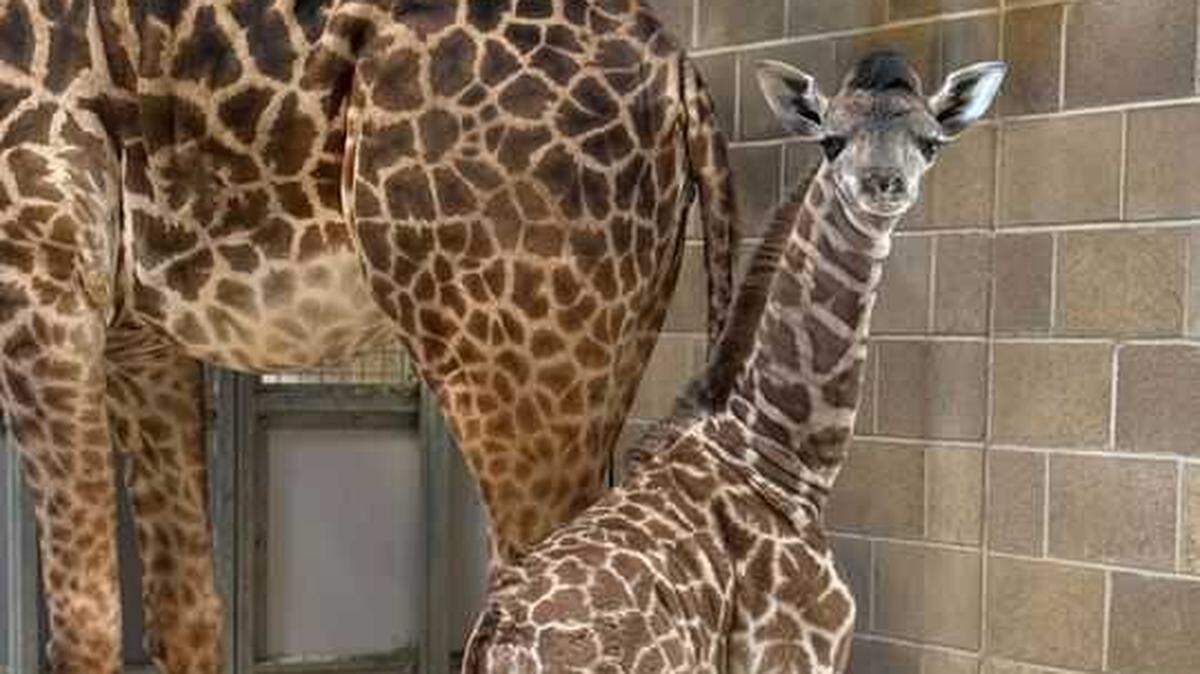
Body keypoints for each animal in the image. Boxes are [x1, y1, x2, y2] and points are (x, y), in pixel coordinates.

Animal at [0, 0, 738, 672]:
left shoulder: (41, 274)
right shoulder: (135, 336)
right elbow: (186, 608)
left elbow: (83, 620)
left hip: (506, 348)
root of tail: (679, 72)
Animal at [462, 51, 1006, 674]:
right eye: (832, 140)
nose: (883, 183)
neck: (780, 458)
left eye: (930, 141)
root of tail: (499, 637)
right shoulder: (799, 655)